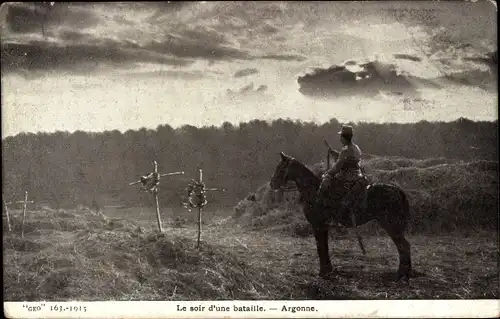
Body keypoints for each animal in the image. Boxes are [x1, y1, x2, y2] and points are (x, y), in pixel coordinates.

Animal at [270, 152, 414, 280]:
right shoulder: (322, 226)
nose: (272, 184)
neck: (314, 192)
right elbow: (323, 248)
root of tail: (397, 190)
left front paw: (324, 272)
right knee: (404, 247)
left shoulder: (318, 225)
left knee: (404, 246)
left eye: (280, 168)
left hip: (391, 225)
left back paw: (401, 274)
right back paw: (405, 273)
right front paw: (328, 270)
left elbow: (321, 248)